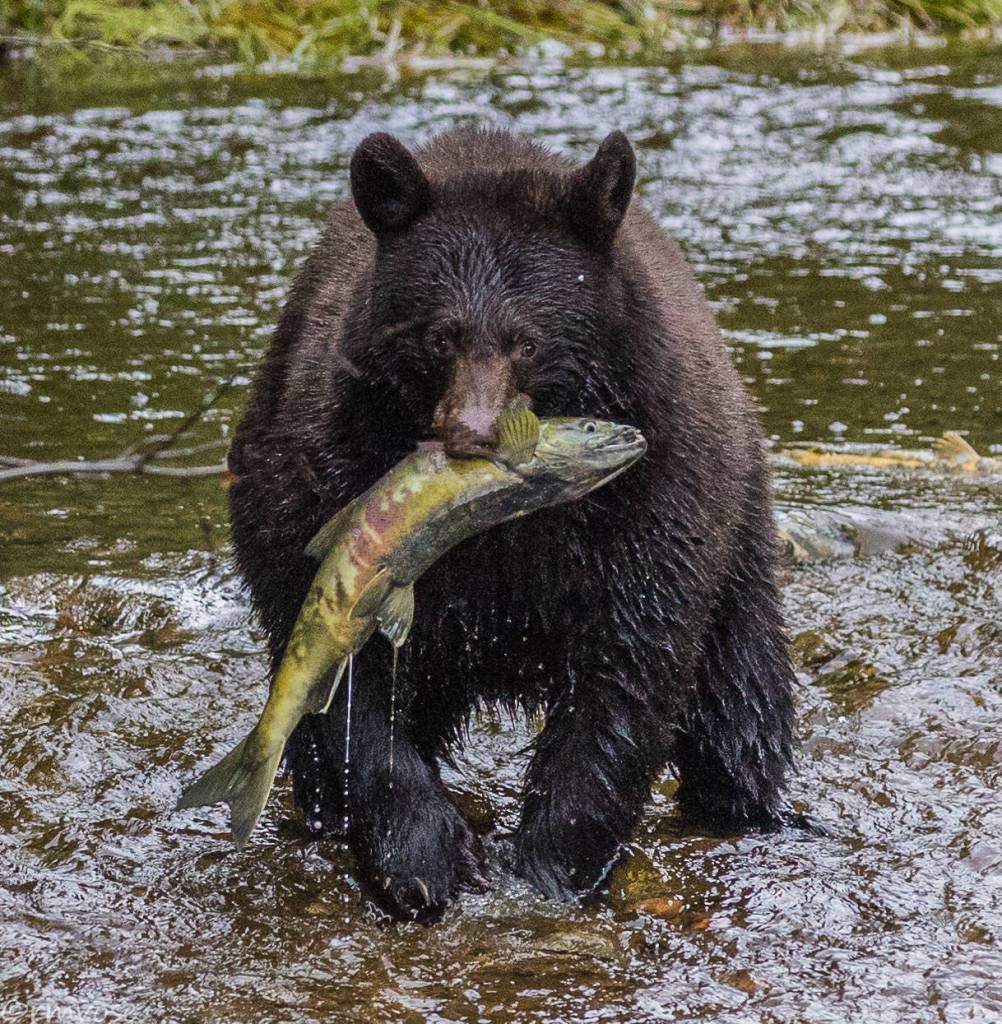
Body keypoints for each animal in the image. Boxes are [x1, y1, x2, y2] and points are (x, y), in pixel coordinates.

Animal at [226, 126, 797, 923]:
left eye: (528, 340)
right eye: (441, 337)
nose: (473, 435)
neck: (501, 522)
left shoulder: (654, 496)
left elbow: (628, 662)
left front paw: (548, 868)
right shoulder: (331, 477)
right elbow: (351, 682)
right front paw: (426, 858)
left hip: (738, 522)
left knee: (741, 694)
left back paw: (744, 801)